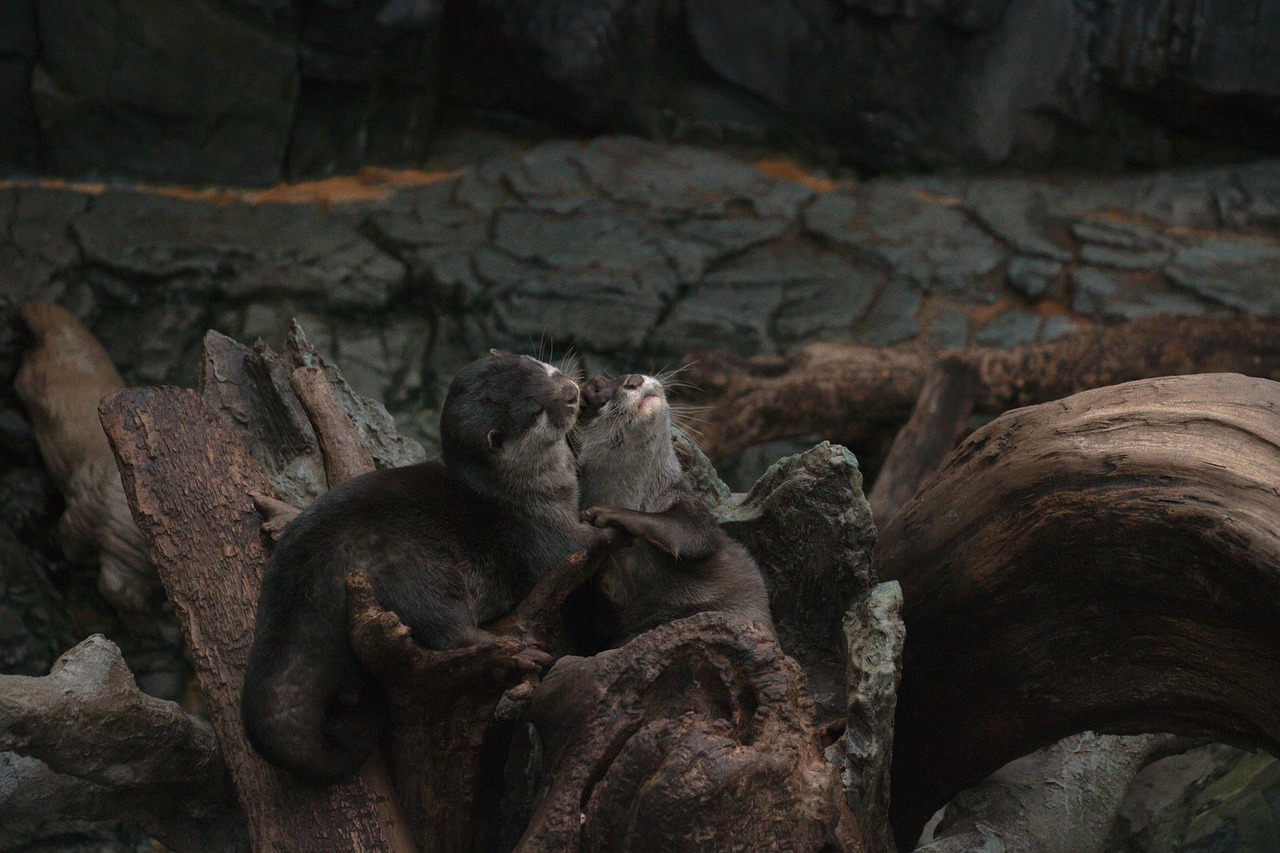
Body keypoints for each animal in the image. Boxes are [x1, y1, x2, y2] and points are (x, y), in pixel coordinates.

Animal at [242, 352, 593, 781]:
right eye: (535, 412)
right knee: (449, 631)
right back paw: (521, 653)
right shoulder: (538, 528)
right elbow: (579, 547)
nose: (571, 391)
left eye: (540, 368)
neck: (529, 488)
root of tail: (305, 575)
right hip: (416, 573)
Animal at [572, 373, 774, 648]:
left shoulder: (689, 504)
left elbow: (694, 534)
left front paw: (614, 514)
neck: (635, 496)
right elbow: (614, 598)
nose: (634, 379)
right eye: (599, 397)